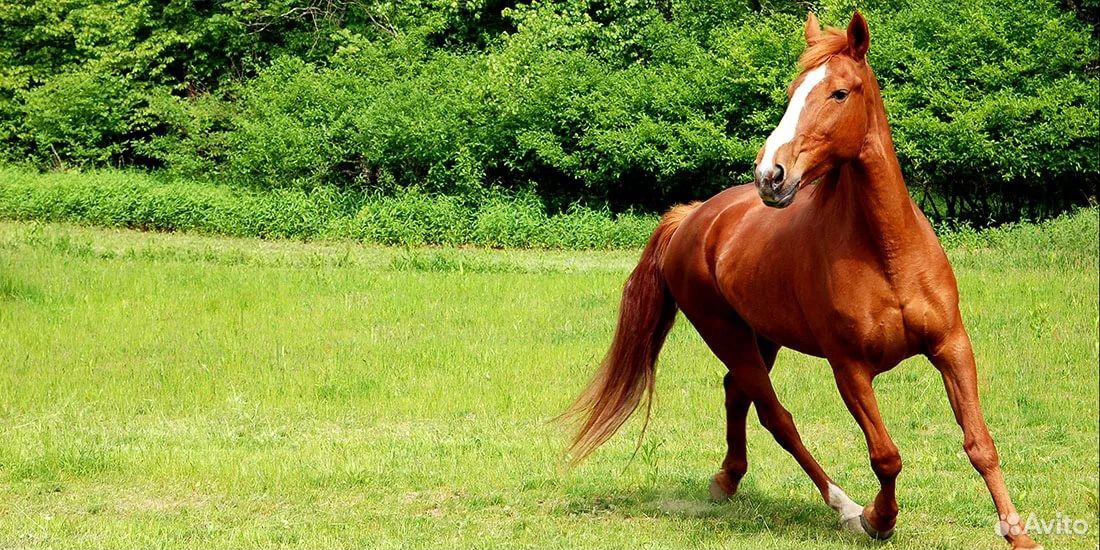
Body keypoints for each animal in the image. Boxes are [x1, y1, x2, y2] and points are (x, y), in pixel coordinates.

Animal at [567, 12, 1038, 550]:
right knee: (777, 417)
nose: (771, 175)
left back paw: (727, 479)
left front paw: (1019, 535)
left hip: (762, 337)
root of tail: (693, 218)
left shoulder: (952, 346)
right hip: (727, 335)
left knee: (737, 394)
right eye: (792, 91)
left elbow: (980, 443)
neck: (888, 252)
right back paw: (843, 506)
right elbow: (885, 454)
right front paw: (879, 519)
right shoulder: (849, 368)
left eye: (839, 92)